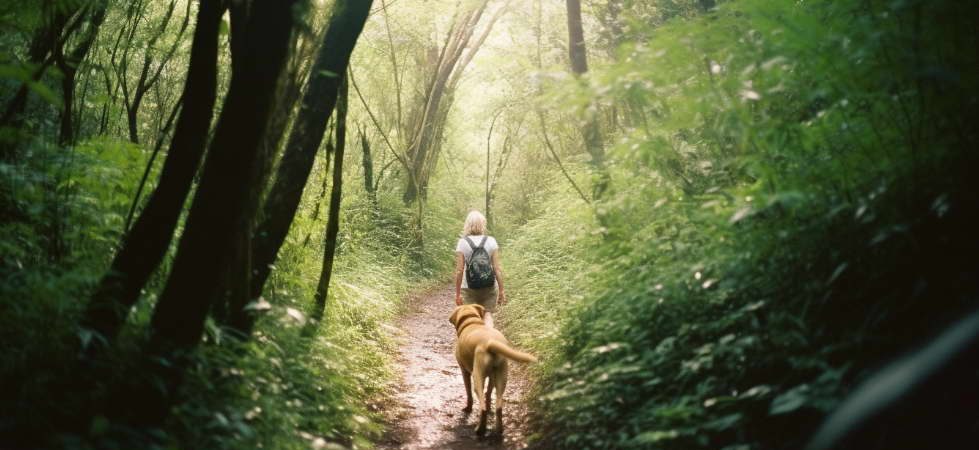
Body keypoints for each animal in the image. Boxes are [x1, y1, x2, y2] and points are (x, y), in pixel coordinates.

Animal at [450, 304, 536, 434]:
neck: (471, 322)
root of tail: (489, 344)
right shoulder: (492, 376)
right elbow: (489, 392)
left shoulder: (464, 371)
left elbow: (469, 393)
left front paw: (468, 408)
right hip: (501, 378)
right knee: (499, 407)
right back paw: (499, 429)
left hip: (477, 378)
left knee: (482, 407)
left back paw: (480, 429)